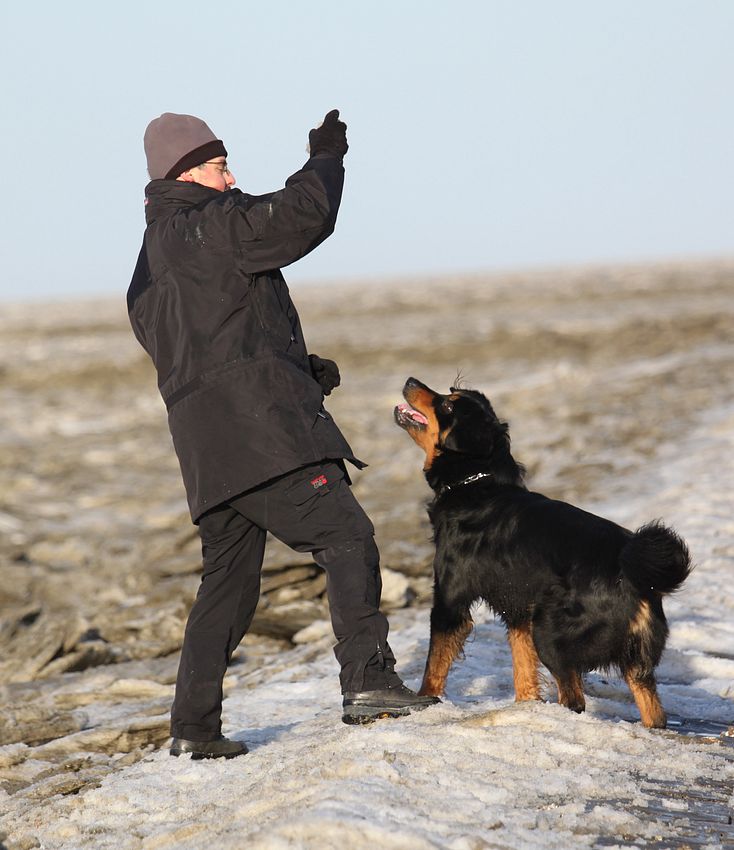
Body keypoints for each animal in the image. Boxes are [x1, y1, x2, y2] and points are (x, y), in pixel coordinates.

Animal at [394, 377, 691, 728]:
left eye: (448, 405)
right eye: (450, 392)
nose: (411, 380)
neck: (476, 484)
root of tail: (637, 578)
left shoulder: (449, 604)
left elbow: (433, 669)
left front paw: (425, 704)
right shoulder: (519, 612)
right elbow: (524, 672)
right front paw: (526, 709)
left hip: (550, 633)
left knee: (574, 699)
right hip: (627, 660)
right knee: (652, 710)